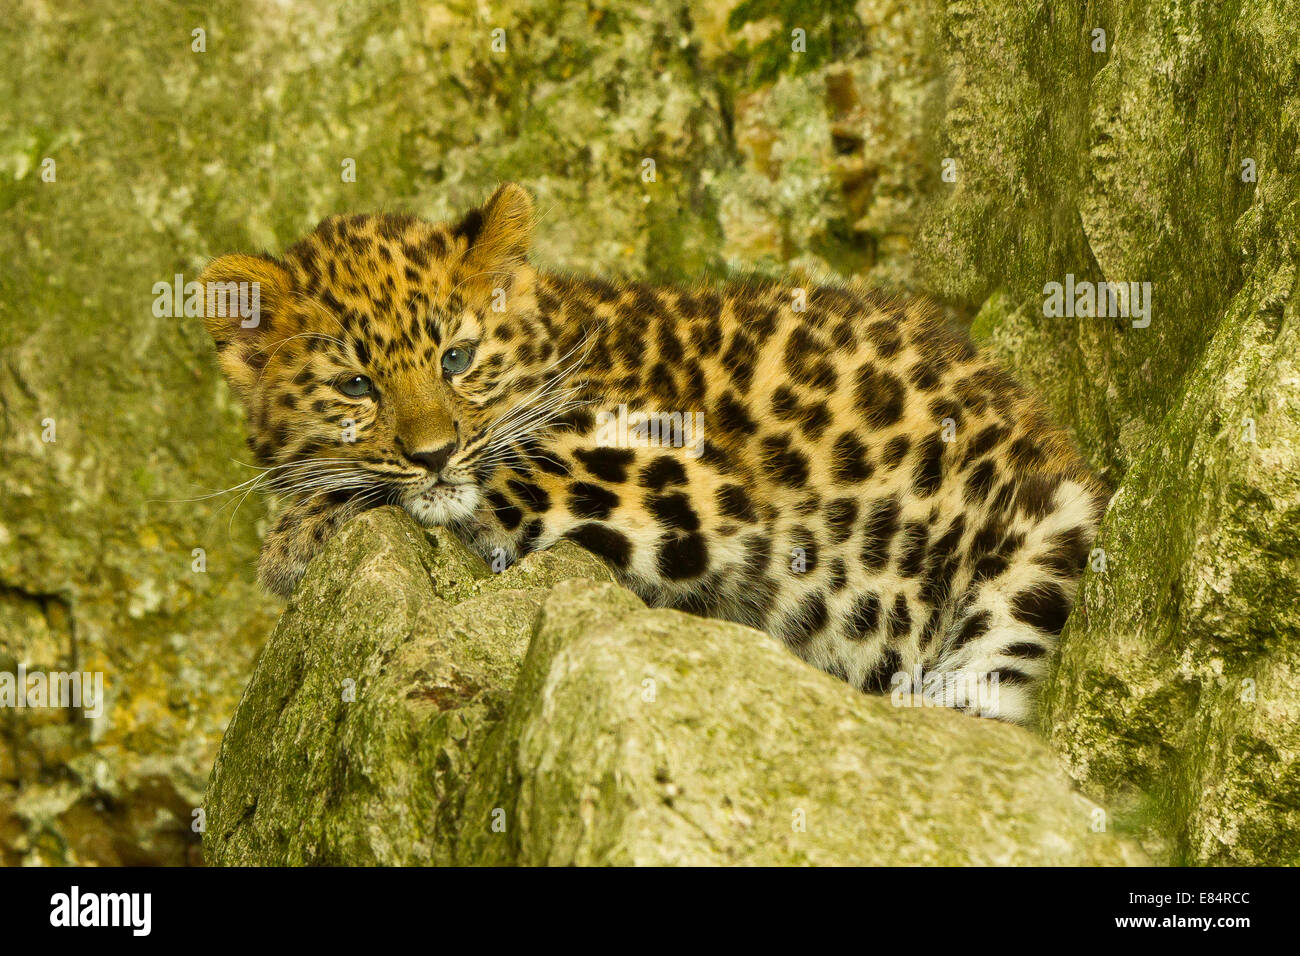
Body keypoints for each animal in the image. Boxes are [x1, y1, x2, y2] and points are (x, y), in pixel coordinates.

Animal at [200, 182, 1107, 724]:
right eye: (357, 385)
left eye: (456, 359)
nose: (431, 452)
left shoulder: (676, 471)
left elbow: (505, 480)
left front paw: (296, 535)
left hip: (1036, 552)